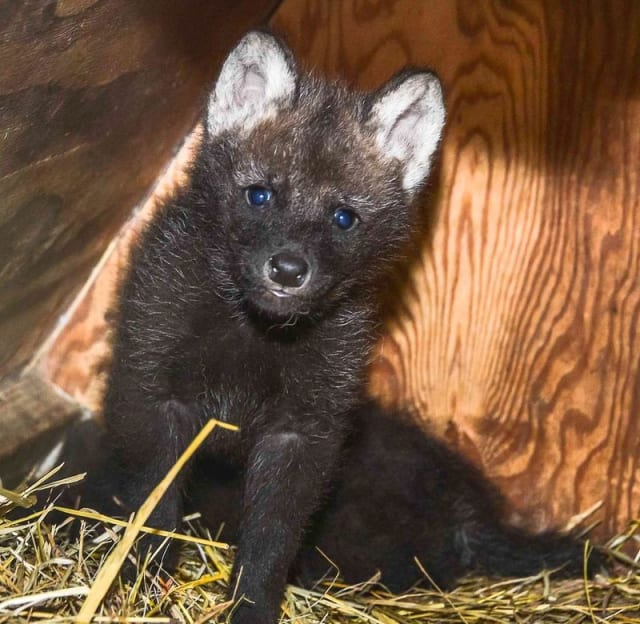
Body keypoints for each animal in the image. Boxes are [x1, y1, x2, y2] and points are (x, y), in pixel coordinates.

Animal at [86, 31, 599, 624]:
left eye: (344, 218)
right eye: (260, 194)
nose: (288, 269)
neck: (255, 338)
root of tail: (469, 509)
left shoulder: (305, 435)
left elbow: (269, 544)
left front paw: (248, 607)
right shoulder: (153, 393)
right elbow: (153, 504)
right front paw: (139, 582)